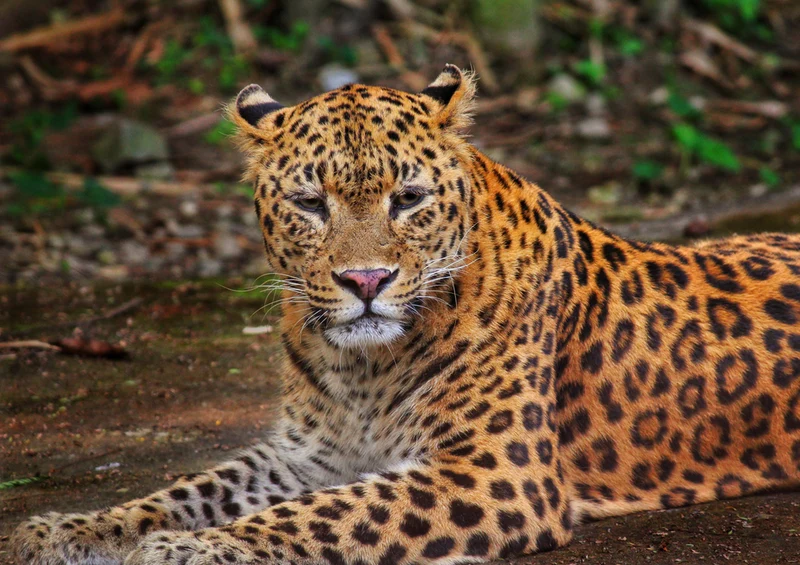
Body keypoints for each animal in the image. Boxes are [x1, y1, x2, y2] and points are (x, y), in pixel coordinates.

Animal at [12, 64, 800, 565]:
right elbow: (191, 488)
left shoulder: (492, 471)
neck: (359, 366)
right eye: (310, 203)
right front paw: (61, 530)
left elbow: (333, 511)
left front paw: (193, 548)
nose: (366, 279)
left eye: (409, 198)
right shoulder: (308, 453)